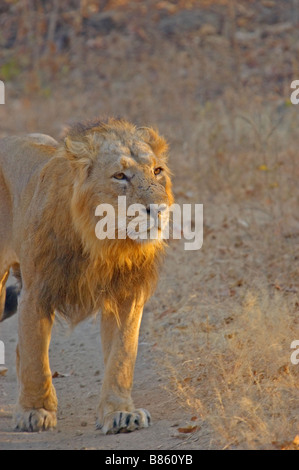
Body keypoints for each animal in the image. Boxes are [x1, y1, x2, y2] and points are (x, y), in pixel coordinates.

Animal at [0, 119, 173, 436]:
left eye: (157, 171)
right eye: (119, 176)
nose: (158, 210)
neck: (105, 242)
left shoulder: (126, 296)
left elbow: (122, 357)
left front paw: (120, 413)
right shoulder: (37, 291)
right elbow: (35, 356)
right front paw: (35, 411)